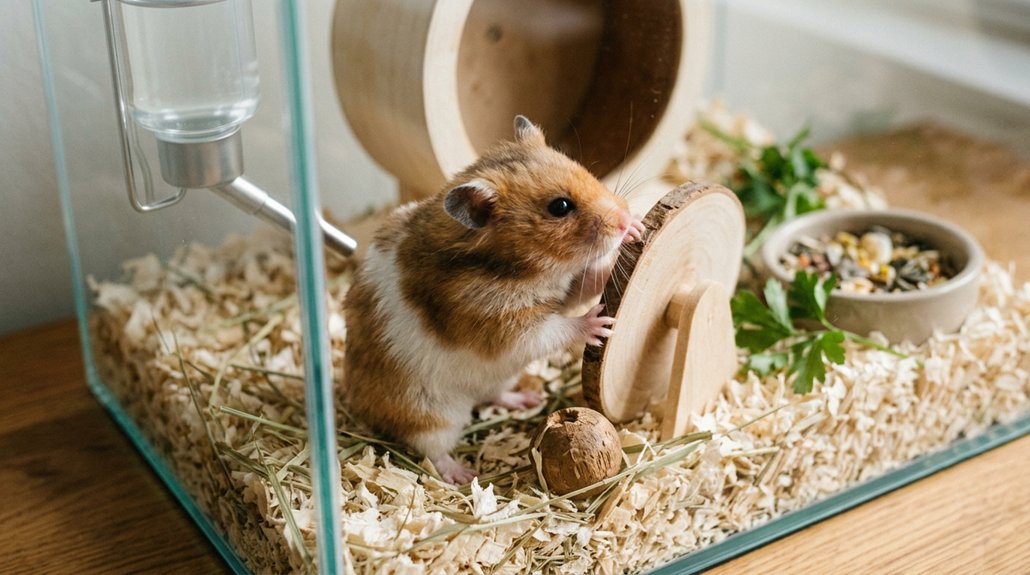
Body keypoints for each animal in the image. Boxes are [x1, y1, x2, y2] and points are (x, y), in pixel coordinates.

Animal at [343, 116, 644, 484]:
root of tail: (357, 400)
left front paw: (636, 232)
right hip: (430, 412)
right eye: (559, 207)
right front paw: (598, 323)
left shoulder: (564, 290)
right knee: (430, 449)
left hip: (500, 377)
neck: (523, 269)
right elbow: (552, 330)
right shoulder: (500, 325)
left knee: (493, 394)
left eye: (581, 167)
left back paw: (527, 399)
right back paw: (462, 475)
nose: (624, 219)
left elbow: (587, 283)